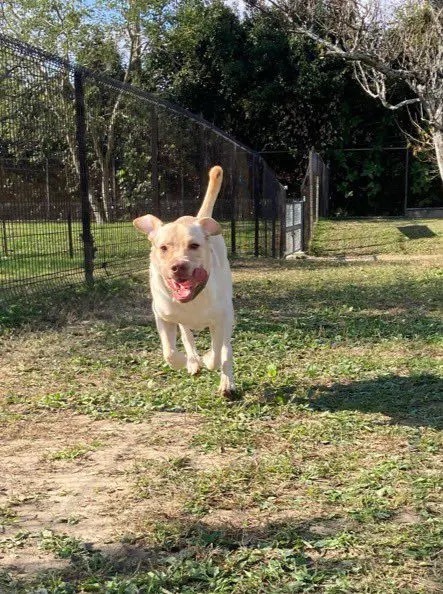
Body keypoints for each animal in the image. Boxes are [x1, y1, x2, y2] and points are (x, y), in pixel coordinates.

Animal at [133, 166, 234, 396]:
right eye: (163, 247)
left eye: (194, 245)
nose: (178, 266)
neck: (194, 298)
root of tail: (196, 217)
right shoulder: (162, 316)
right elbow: (169, 351)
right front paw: (185, 361)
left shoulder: (221, 318)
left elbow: (218, 352)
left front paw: (209, 360)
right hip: (181, 321)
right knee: (187, 336)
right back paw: (193, 361)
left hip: (228, 314)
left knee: (225, 349)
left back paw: (226, 382)